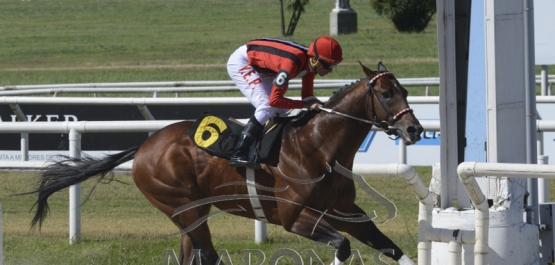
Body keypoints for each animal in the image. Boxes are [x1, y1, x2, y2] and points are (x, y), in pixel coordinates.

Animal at [27, 60, 422, 262]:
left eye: (405, 89)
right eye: (386, 93)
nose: (415, 129)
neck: (318, 147)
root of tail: (145, 145)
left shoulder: (345, 211)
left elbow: (391, 248)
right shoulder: (295, 218)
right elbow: (342, 245)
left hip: (191, 213)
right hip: (182, 206)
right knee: (208, 256)